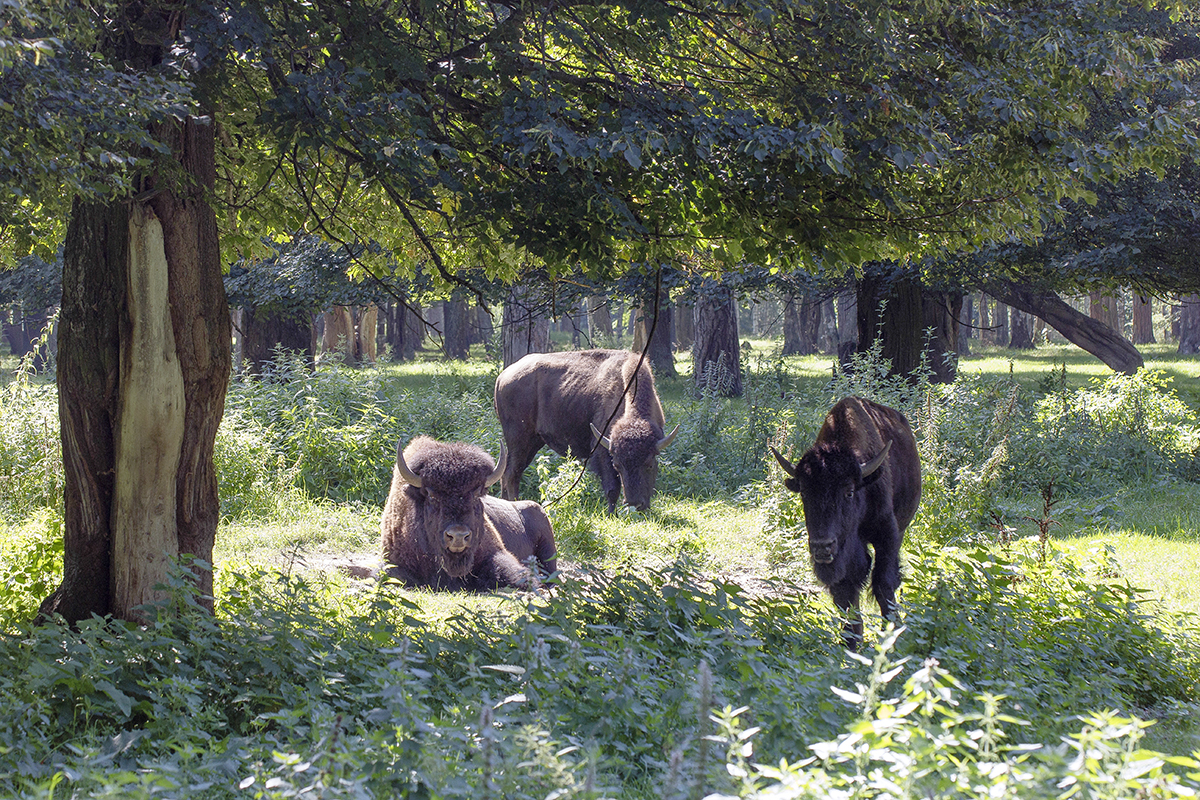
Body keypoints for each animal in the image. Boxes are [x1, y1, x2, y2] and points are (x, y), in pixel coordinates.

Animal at [489, 350, 676, 513]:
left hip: (533, 442)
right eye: (617, 465)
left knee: (509, 472)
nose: (635, 504)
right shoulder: (602, 451)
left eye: (650, 464)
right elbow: (612, 489)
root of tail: (502, 377)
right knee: (512, 474)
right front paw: (611, 515)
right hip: (519, 440)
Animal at [772, 398, 921, 647]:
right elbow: (846, 593)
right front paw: (851, 641)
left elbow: (884, 583)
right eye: (804, 493)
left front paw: (891, 635)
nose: (822, 546)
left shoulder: (887, 535)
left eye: (849, 492)